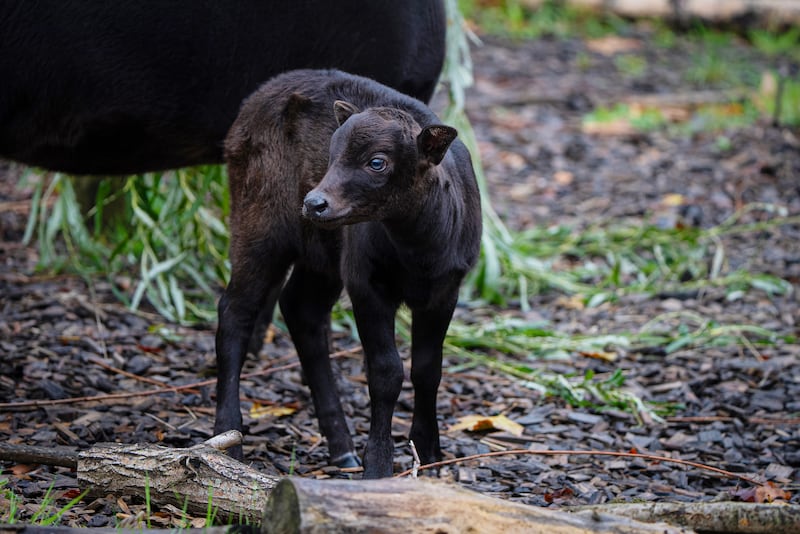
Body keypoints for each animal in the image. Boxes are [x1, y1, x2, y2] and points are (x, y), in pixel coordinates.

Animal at [216, 70, 482, 478]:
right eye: (331, 155)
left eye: (377, 162)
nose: (314, 203)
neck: (418, 253)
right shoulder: (365, 283)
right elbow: (386, 373)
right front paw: (379, 466)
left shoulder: (446, 290)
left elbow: (428, 369)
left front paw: (430, 456)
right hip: (259, 221)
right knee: (235, 312)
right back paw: (229, 439)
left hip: (322, 252)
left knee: (301, 310)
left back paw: (341, 448)